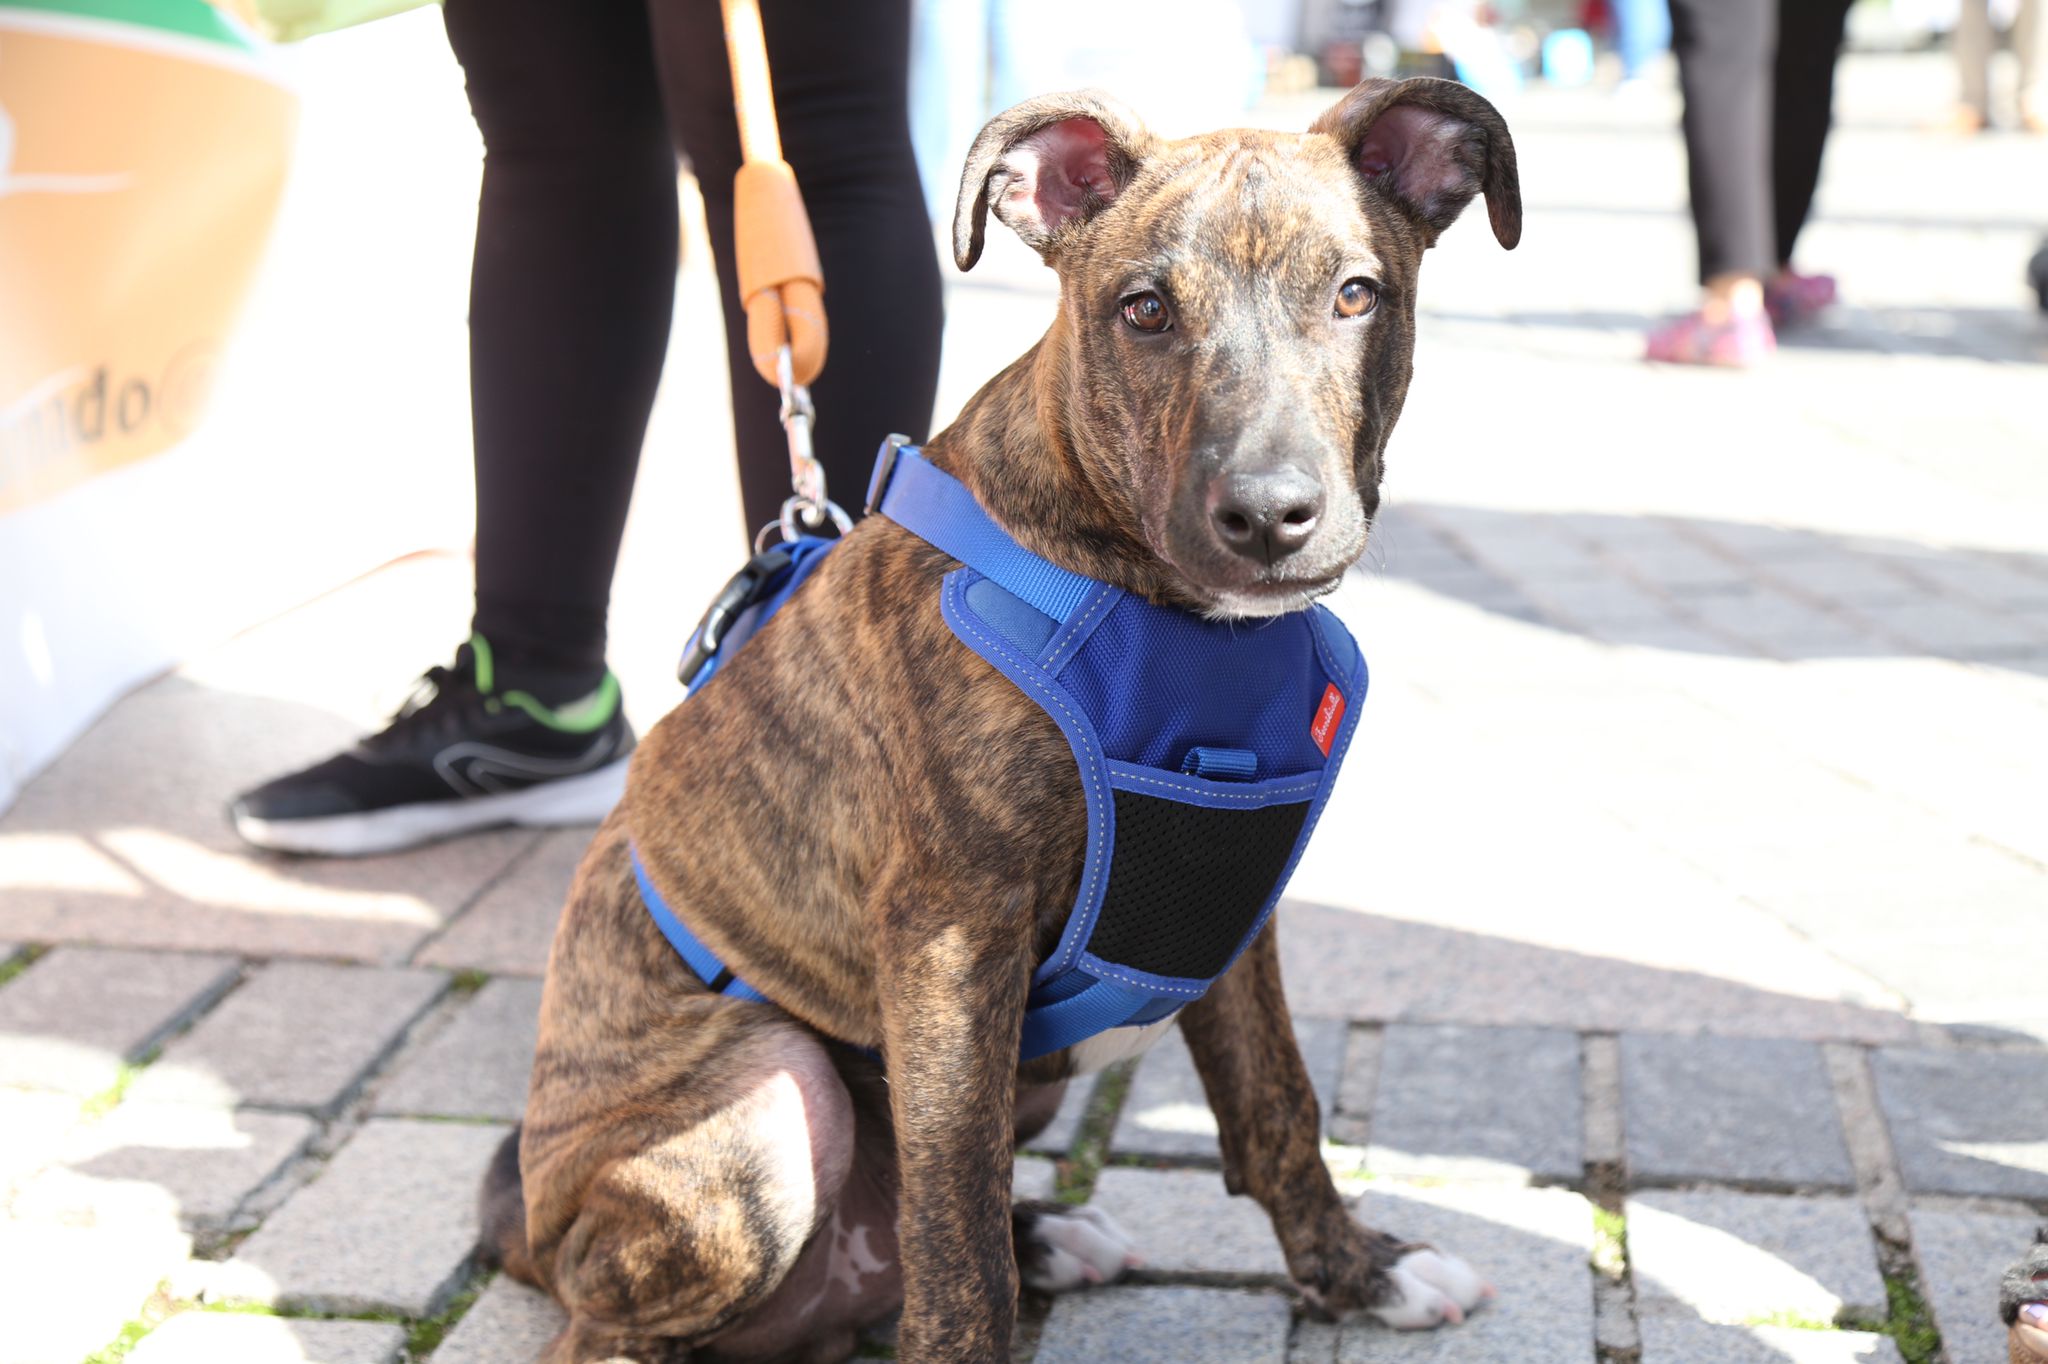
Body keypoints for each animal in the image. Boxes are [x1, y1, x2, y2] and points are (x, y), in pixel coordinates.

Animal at [483, 77, 1521, 1364]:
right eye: (1143, 310)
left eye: (1354, 294)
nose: (1267, 512)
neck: (1174, 620)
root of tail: (531, 1222)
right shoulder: (948, 940)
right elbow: (956, 1221)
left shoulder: (1226, 909)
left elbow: (1276, 1103)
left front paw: (1356, 1269)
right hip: (765, 1102)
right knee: (638, 1311)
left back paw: (1048, 1237)